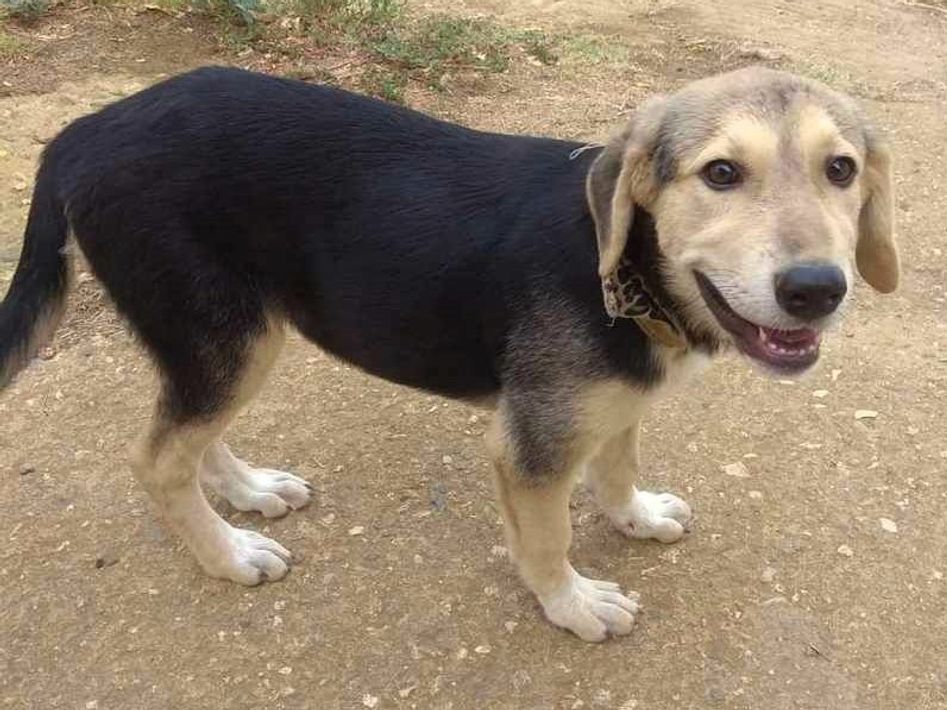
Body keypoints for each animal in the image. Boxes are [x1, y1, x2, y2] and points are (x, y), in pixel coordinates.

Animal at [0, 65, 898, 642]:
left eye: (839, 169)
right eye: (719, 174)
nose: (816, 290)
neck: (623, 268)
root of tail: (82, 132)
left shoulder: (611, 405)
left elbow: (616, 467)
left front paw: (635, 516)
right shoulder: (528, 448)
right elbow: (546, 539)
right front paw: (572, 606)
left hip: (221, 336)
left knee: (189, 436)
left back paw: (247, 493)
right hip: (226, 331)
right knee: (158, 458)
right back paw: (228, 555)